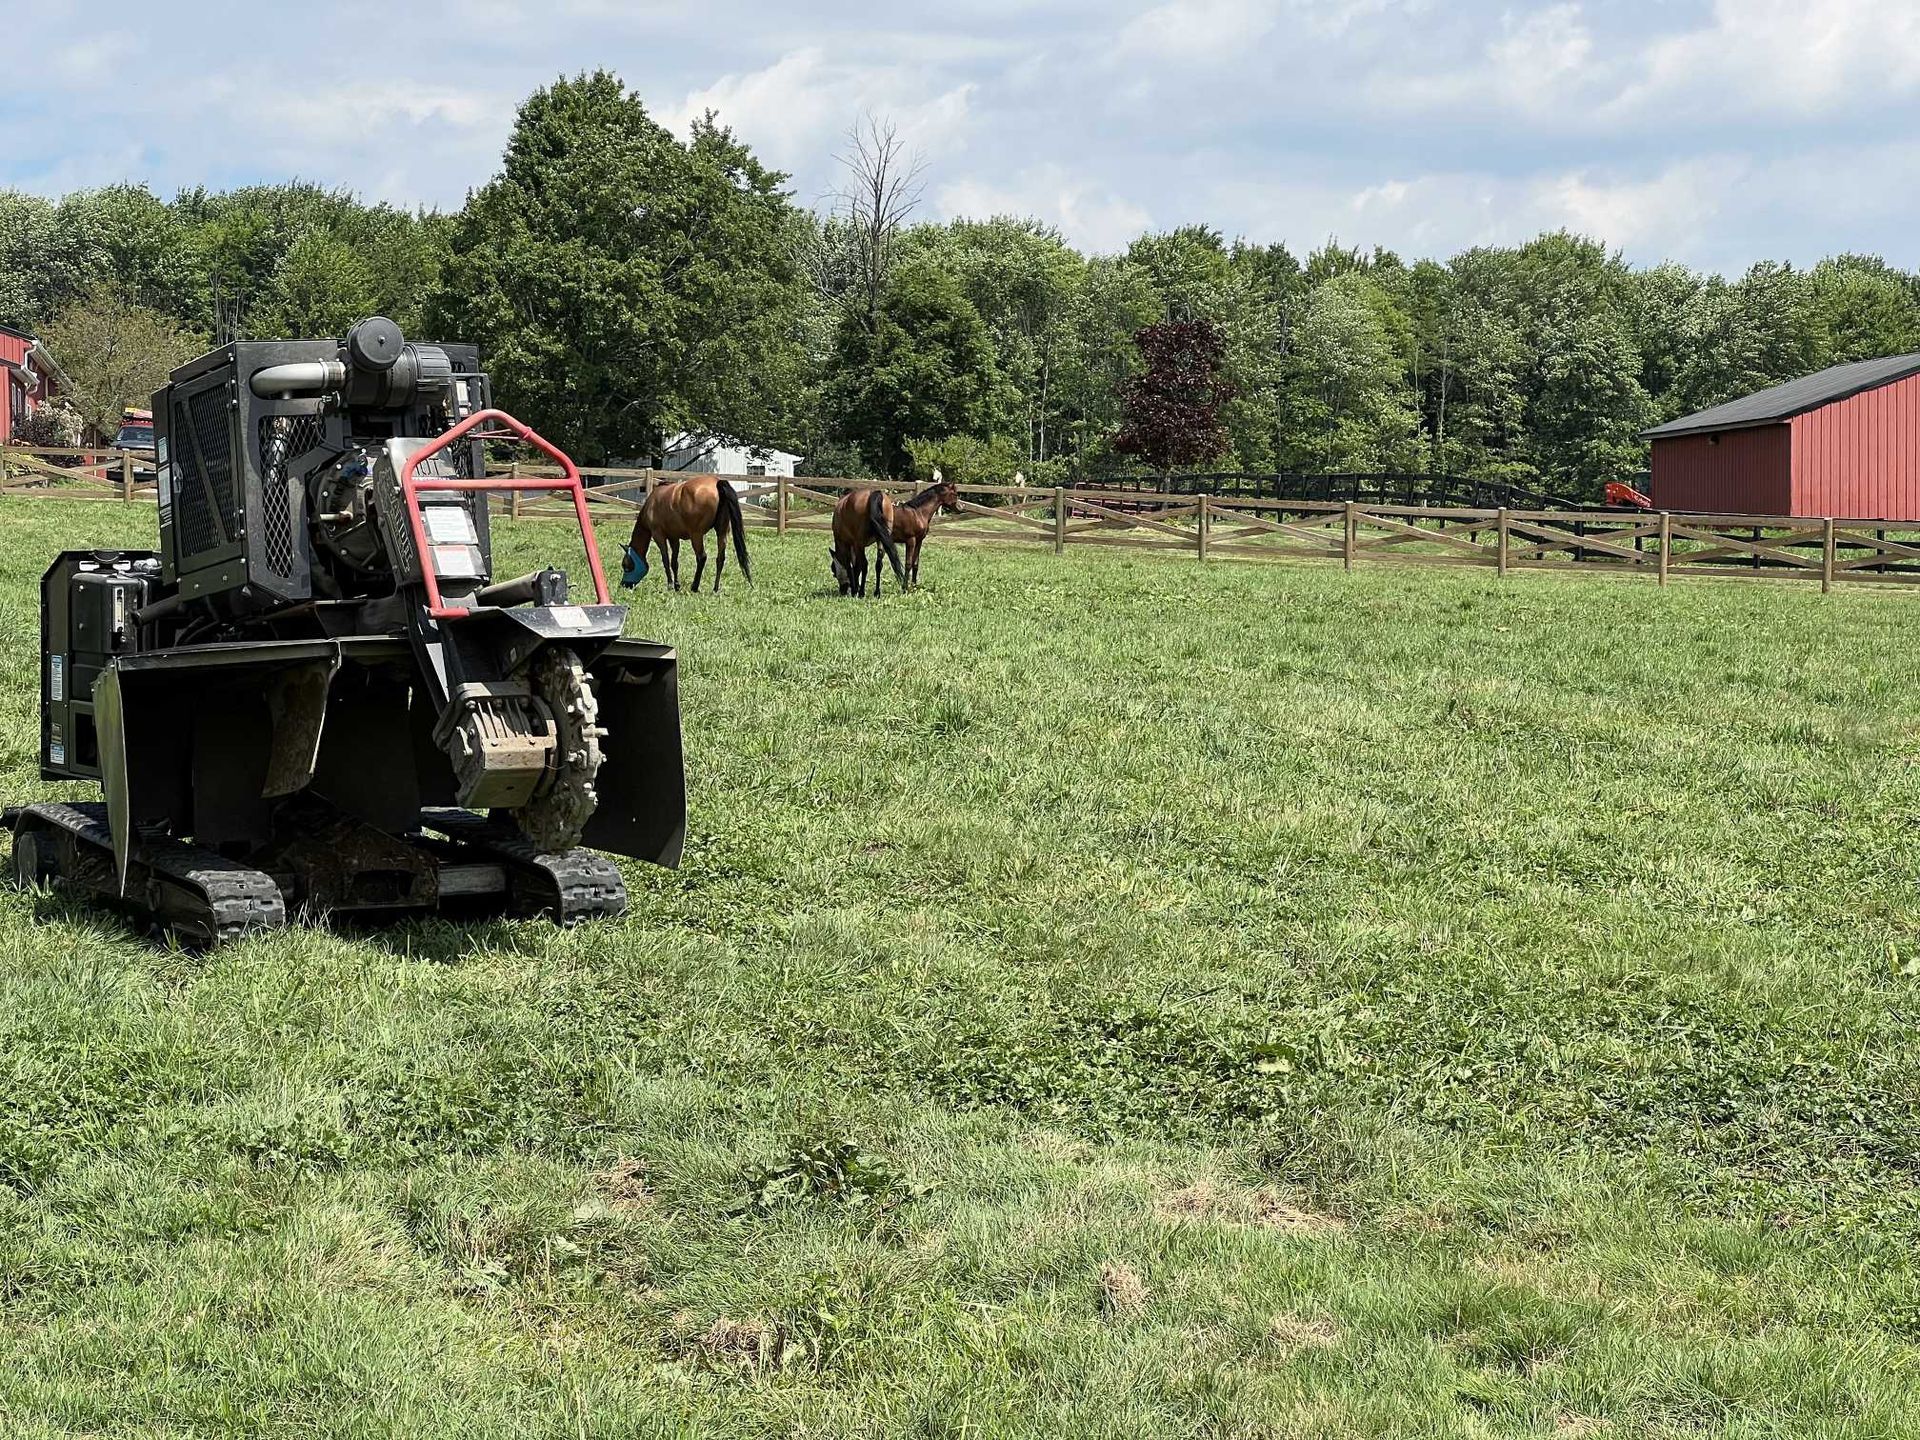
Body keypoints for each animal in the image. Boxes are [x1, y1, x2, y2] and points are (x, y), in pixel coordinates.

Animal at [621, 474, 752, 593]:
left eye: (625, 565)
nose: (624, 585)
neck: (651, 504)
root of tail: (717, 483)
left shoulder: (659, 536)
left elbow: (666, 560)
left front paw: (670, 585)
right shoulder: (674, 538)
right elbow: (674, 562)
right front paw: (676, 586)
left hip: (696, 535)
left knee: (702, 557)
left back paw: (694, 587)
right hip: (722, 533)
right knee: (720, 558)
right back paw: (715, 589)